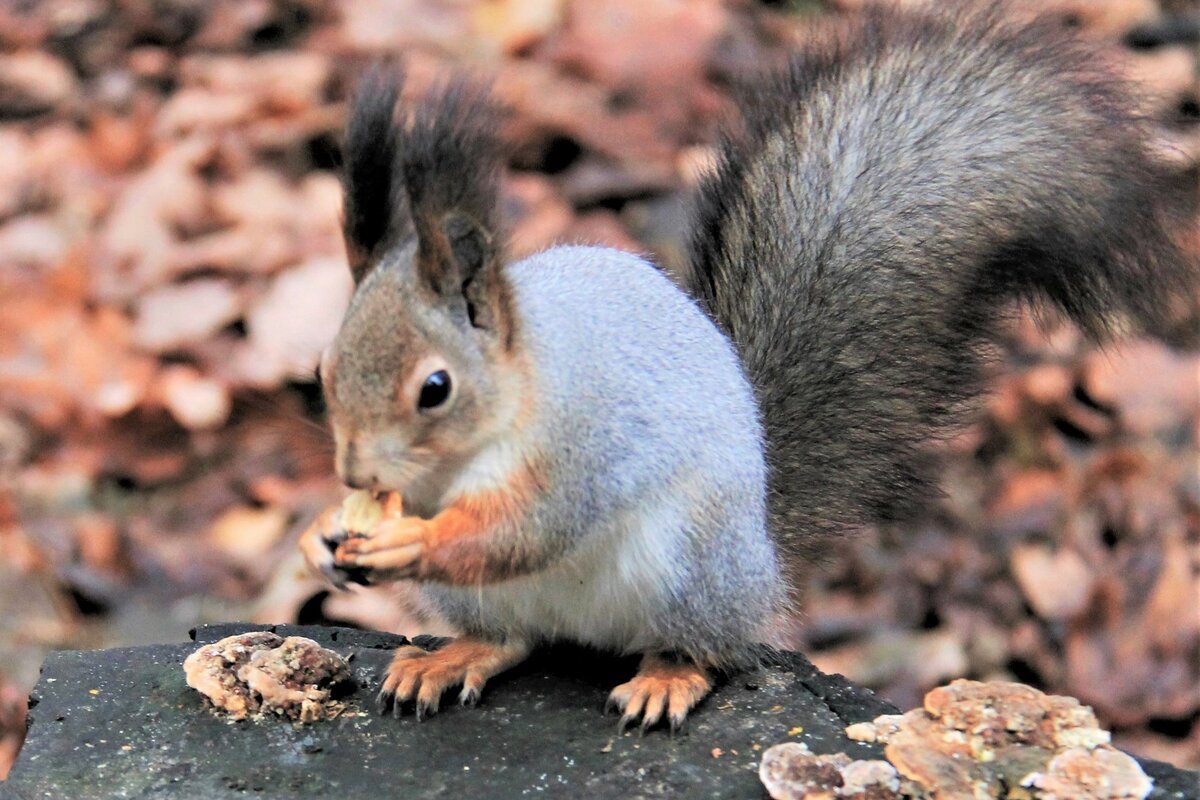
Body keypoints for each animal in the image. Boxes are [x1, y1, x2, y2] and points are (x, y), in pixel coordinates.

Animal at [299, 3, 1198, 732]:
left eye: (435, 389)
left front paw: (407, 541)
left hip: (692, 563)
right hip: (506, 602)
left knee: (714, 649)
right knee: (514, 636)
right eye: (324, 366)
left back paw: (668, 677)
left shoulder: (584, 444)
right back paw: (452, 657)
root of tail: (763, 552)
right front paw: (324, 535)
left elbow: (529, 528)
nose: (354, 471)